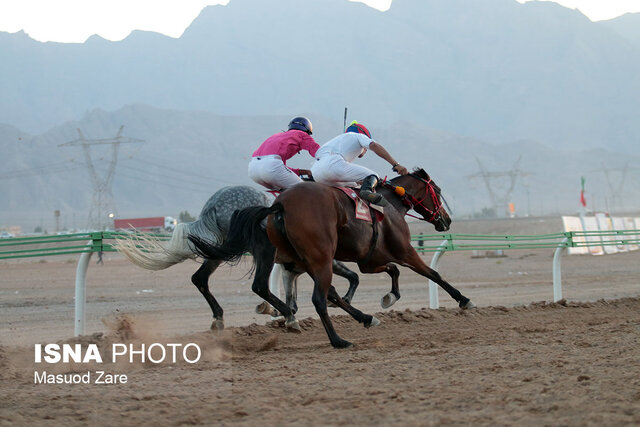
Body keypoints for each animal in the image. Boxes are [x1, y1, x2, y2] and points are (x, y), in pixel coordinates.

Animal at [188, 169, 472, 350]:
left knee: (214, 279)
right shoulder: (403, 251)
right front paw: (463, 299)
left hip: (296, 257)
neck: (389, 203)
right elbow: (430, 273)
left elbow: (386, 272)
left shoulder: (367, 261)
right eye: (437, 191)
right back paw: (336, 339)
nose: (446, 220)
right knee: (313, 298)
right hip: (304, 256)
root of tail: (278, 205)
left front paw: (385, 300)